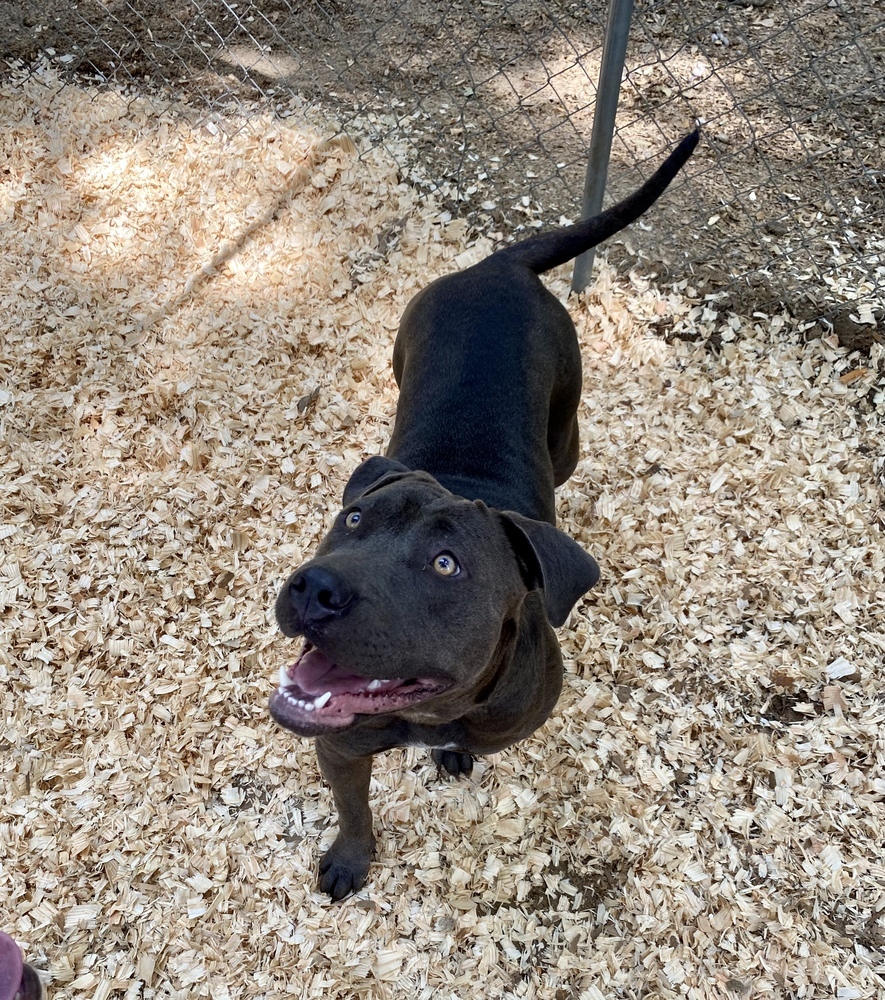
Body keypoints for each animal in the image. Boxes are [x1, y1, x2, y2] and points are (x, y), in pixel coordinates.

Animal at [270, 129, 696, 904]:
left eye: (447, 565)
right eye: (354, 523)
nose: (315, 587)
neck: (428, 714)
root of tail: (500, 266)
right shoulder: (338, 746)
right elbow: (354, 812)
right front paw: (350, 859)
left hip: (568, 430)